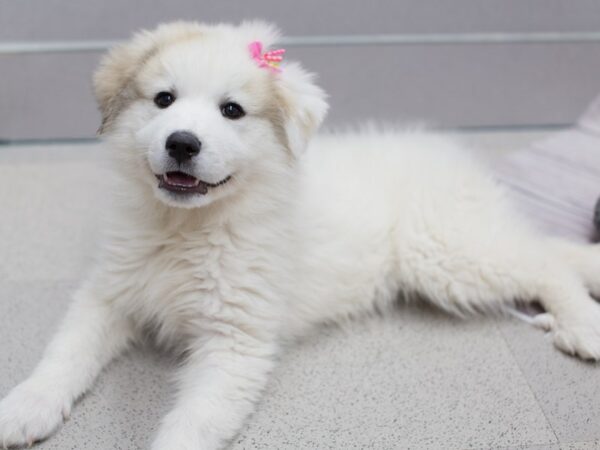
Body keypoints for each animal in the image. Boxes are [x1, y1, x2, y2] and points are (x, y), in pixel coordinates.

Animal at [1, 20, 600, 450]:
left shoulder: (236, 343)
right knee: (544, 246)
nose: (182, 143)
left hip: (443, 252)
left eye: (232, 110)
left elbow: (191, 425)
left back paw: (582, 327)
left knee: (544, 263)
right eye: (164, 100)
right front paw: (26, 407)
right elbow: (64, 354)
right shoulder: (108, 292)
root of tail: (457, 163)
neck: (187, 228)